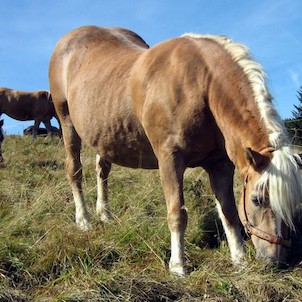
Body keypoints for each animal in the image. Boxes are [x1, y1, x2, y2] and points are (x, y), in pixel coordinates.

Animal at [49, 26, 302, 276]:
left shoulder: (219, 164)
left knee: (102, 169)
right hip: (67, 121)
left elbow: (229, 212)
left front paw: (239, 259)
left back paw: (105, 214)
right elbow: (177, 213)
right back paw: (84, 220)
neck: (202, 84)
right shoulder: (170, 159)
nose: (274, 262)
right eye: (256, 200)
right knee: (74, 170)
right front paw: (178, 265)